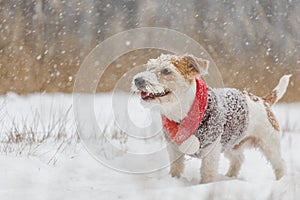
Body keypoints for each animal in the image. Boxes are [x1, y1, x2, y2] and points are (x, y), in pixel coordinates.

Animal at [131, 54, 290, 184]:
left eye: (166, 71)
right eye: (149, 67)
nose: (138, 80)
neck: (180, 113)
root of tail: (263, 101)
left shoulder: (211, 149)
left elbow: (207, 172)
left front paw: (205, 186)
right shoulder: (173, 148)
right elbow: (176, 167)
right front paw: (174, 180)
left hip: (269, 144)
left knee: (280, 164)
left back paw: (281, 181)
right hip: (231, 144)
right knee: (238, 159)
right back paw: (229, 177)